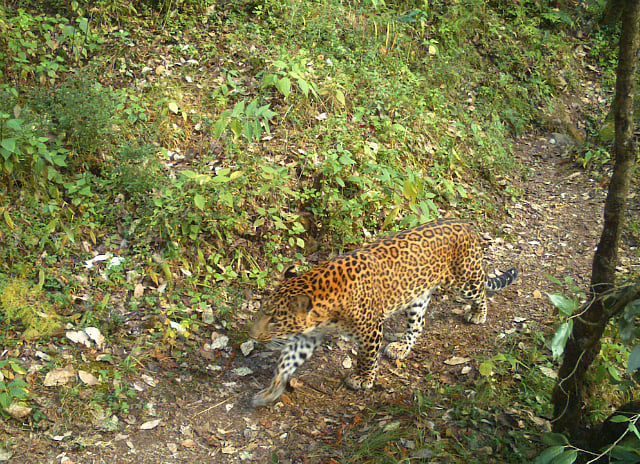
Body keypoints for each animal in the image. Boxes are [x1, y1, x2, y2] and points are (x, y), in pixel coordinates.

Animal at [249, 218, 518, 407]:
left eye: (274, 320)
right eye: (263, 313)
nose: (252, 335)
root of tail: (467, 224)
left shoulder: (370, 328)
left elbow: (366, 357)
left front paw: (362, 379)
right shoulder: (307, 337)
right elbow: (285, 363)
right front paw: (269, 392)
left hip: (464, 279)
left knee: (481, 291)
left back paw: (479, 313)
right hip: (417, 296)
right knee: (417, 325)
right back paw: (401, 348)